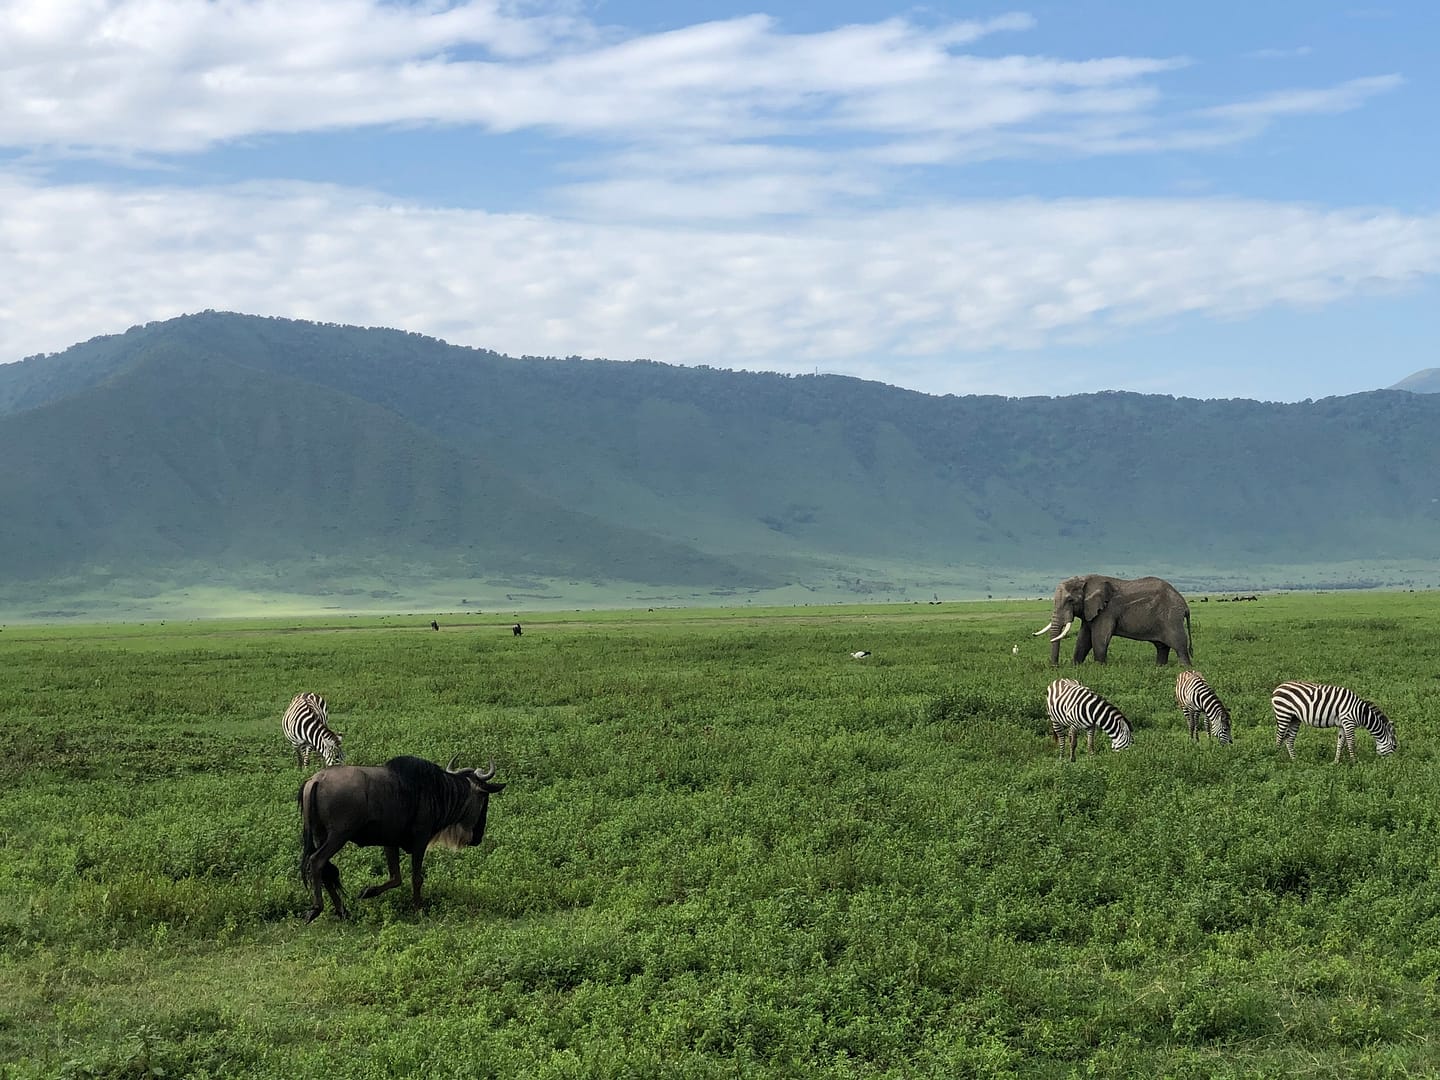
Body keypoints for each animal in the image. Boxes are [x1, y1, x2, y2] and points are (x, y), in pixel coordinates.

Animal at [1035, 574, 1191, 666]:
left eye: (1070, 600)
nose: (1055, 667)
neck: (1084, 580)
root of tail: (1184, 604)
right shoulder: (1090, 611)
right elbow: (1083, 640)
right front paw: (1076, 667)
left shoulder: (1107, 611)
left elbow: (1099, 639)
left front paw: (1099, 668)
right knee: (1161, 647)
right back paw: (1159, 667)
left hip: (1171, 618)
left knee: (1180, 646)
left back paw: (1185, 669)